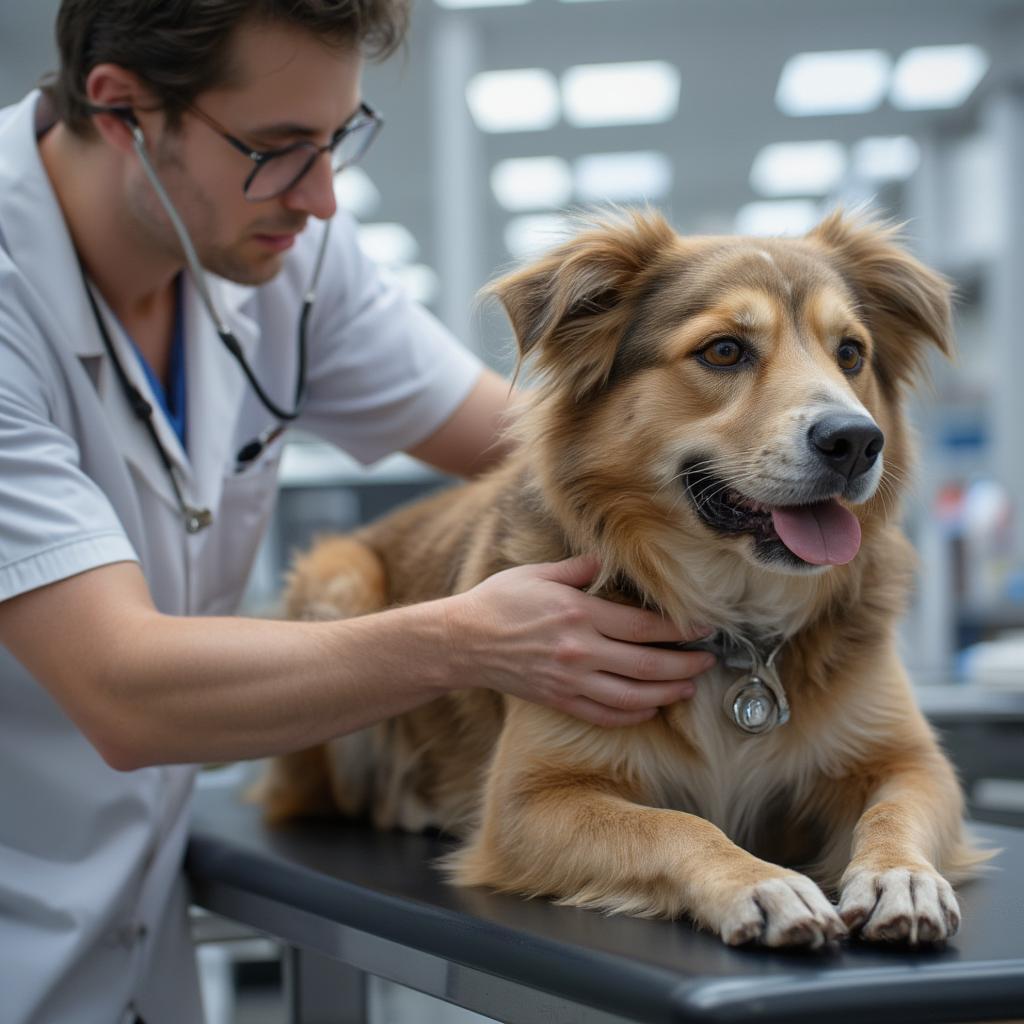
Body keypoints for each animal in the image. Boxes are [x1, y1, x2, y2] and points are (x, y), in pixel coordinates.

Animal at [260, 211, 987, 946]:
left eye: (851, 354)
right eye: (724, 351)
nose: (856, 442)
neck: (739, 629)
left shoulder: (908, 760)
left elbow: (896, 809)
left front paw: (902, 875)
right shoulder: (530, 800)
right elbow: (674, 825)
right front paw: (759, 882)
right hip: (339, 583)